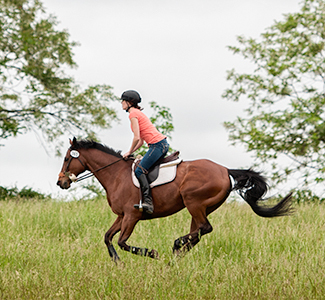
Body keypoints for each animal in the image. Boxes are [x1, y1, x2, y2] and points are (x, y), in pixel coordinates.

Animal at [57, 137, 292, 262]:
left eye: (67, 158)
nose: (61, 182)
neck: (116, 174)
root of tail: (225, 170)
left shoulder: (132, 215)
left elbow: (122, 242)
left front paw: (152, 253)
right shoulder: (122, 215)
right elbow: (107, 237)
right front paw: (117, 262)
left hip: (194, 201)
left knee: (204, 228)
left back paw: (175, 246)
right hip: (201, 207)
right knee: (198, 232)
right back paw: (176, 256)